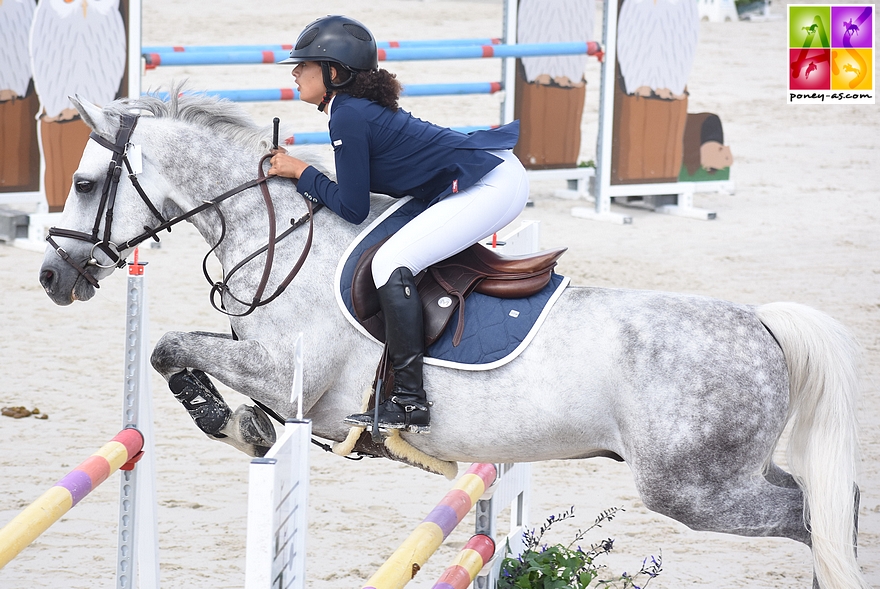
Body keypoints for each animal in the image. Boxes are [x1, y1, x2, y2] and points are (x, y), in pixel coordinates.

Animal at [39, 94, 868, 584]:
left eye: (83, 184)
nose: (51, 275)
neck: (276, 235)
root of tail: (763, 323)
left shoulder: (286, 375)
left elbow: (171, 346)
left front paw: (235, 423)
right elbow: (174, 348)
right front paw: (237, 421)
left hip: (692, 487)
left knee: (811, 514)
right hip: (719, 477)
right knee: (829, 502)